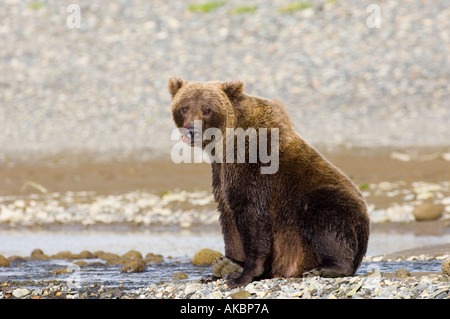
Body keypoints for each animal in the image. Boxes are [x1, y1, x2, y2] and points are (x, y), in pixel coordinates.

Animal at [169, 78, 370, 290]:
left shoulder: (254, 168)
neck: (224, 144)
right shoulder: (221, 176)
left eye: (207, 109)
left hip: (330, 207)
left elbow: (253, 217)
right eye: (184, 107)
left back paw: (328, 268)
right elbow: (228, 219)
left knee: (325, 219)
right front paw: (225, 265)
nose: (191, 130)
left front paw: (242, 275)